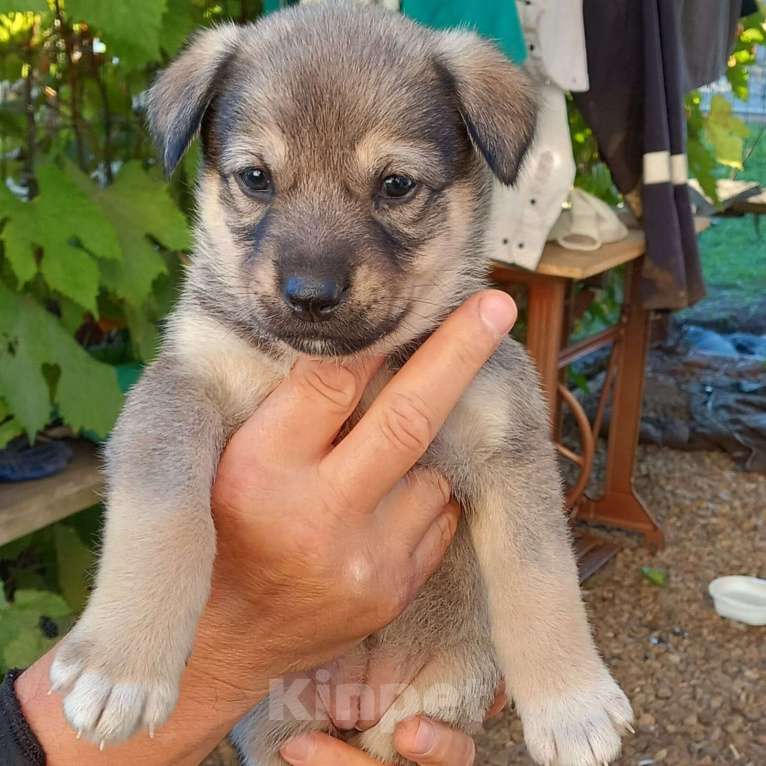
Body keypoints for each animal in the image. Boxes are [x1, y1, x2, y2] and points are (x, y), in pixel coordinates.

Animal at [49, 6, 636, 766]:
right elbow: (161, 516)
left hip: (427, 707)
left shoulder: (509, 444)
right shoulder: (179, 392)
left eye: (396, 185)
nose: (311, 294)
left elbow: (541, 576)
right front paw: (119, 663)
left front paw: (572, 703)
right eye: (256, 177)